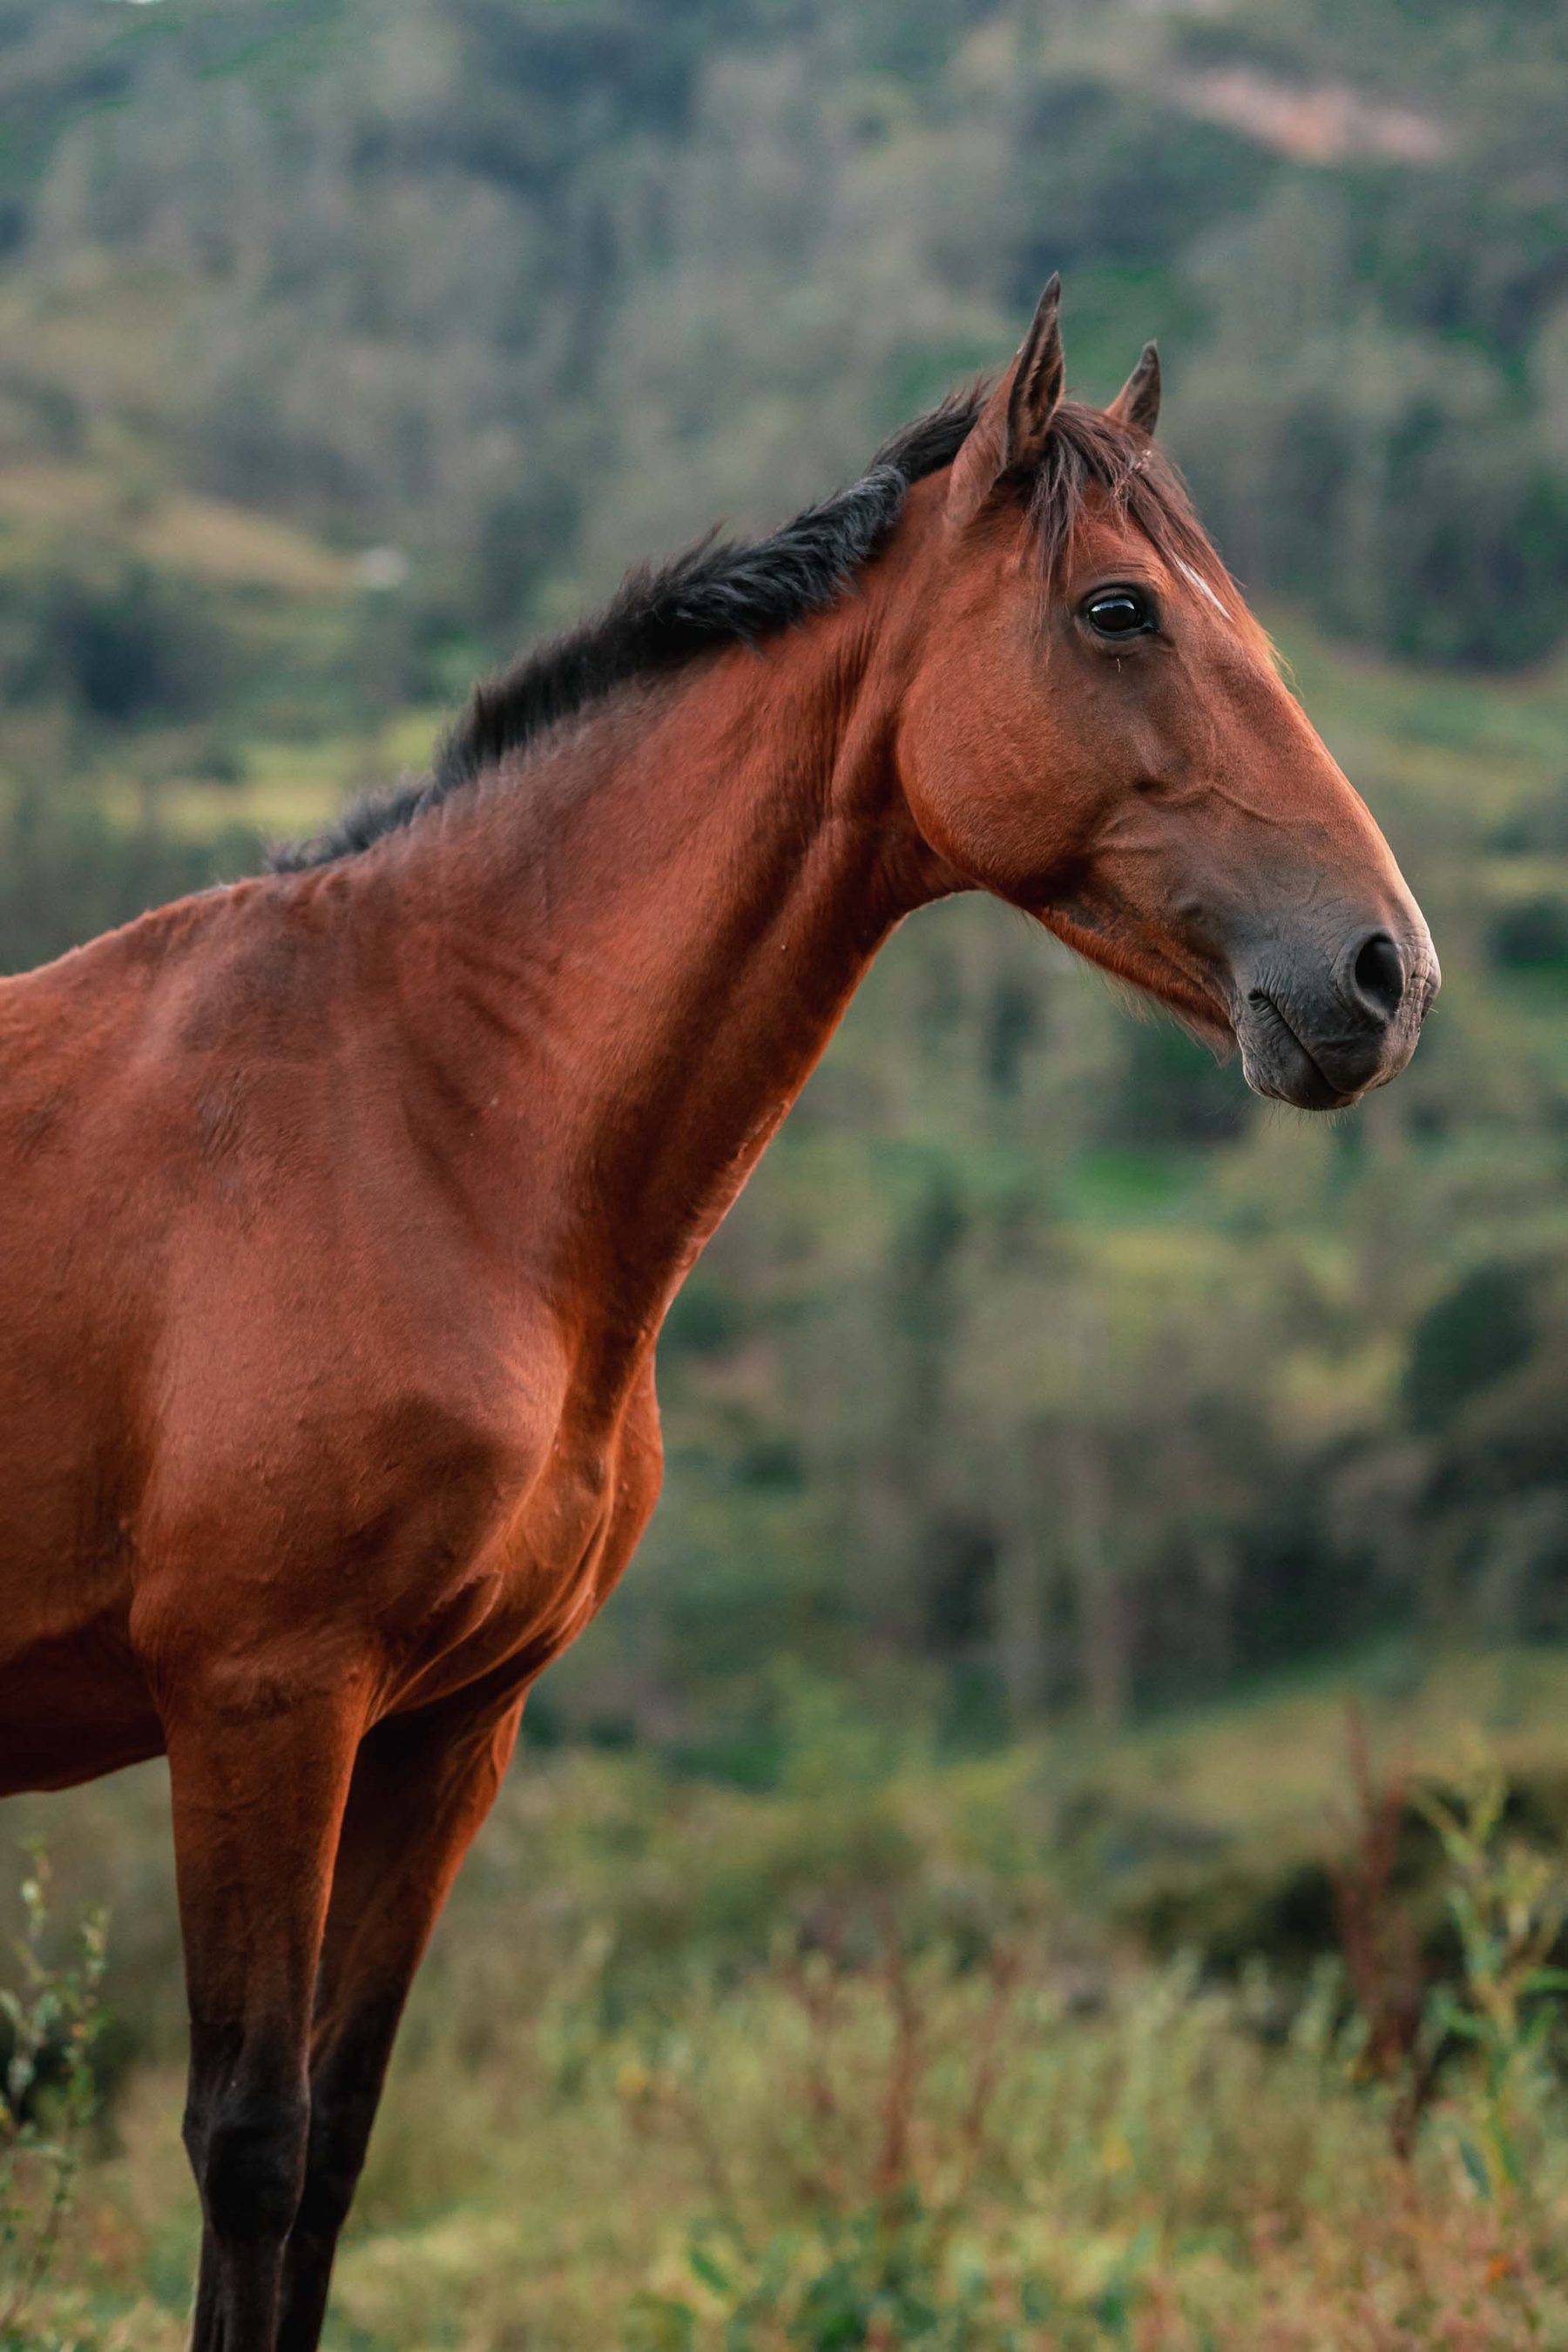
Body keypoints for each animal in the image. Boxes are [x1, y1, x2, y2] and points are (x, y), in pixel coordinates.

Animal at [0, 279, 1436, 2349]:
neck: (420, 1105)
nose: (1382, 974)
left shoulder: (447, 1732)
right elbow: (250, 2149)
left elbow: (335, 2148)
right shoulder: (261, 1701)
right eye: (1118, 612)